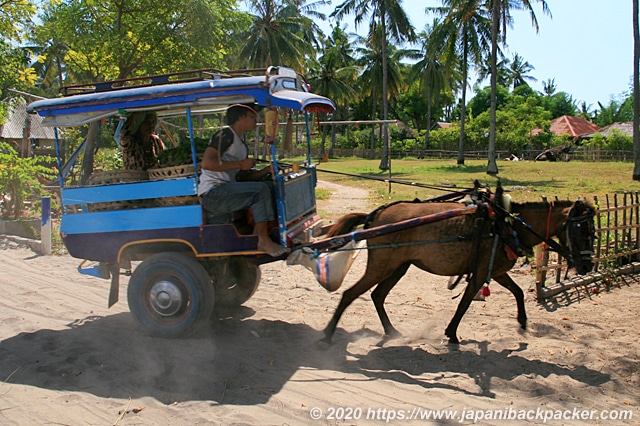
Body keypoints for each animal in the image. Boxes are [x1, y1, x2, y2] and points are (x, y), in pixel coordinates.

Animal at [322, 188, 596, 344]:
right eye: (581, 229)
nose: (587, 267)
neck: (506, 223)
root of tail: (375, 216)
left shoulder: (496, 271)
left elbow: (518, 292)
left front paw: (522, 322)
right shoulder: (480, 273)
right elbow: (464, 304)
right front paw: (451, 333)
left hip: (399, 267)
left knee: (377, 295)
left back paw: (391, 332)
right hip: (381, 266)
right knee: (350, 294)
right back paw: (327, 334)